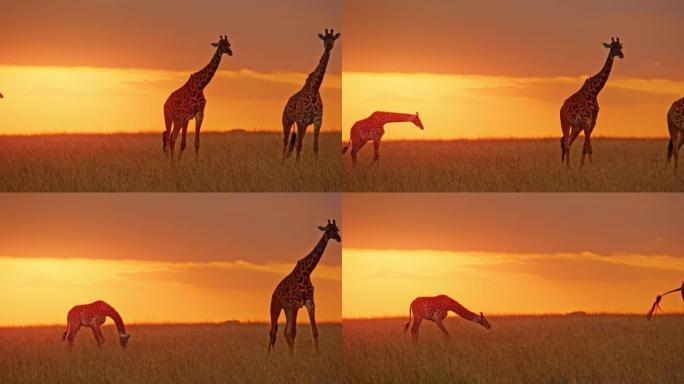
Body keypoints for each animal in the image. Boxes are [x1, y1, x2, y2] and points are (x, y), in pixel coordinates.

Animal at [268, 219, 342, 354]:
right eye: (329, 230)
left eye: (337, 229)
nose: (339, 238)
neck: (307, 272)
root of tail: (273, 293)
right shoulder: (295, 304)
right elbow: (293, 332)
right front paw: (293, 357)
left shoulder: (309, 302)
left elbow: (315, 331)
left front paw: (317, 354)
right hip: (275, 307)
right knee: (272, 331)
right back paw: (269, 356)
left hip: (287, 309)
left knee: (283, 331)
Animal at [280, 28, 340, 163]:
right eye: (324, 38)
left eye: (333, 39)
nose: (329, 45)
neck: (315, 89)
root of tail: (286, 104)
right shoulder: (301, 121)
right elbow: (299, 146)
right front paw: (297, 166)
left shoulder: (317, 121)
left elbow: (315, 146)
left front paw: (316, 164)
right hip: (287, 121)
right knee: (286, 141)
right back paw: (282, 162)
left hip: (302, 125)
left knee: (294, 142)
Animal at [560, 38, 624, 168]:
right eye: (613, 47)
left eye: (620, 47)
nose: (621, 55)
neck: (595, 92)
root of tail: (561, 109)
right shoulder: (586, 120)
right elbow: (588, 147)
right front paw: (587, 167)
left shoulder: (592, 121)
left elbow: (586, 148)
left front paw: (583, 167)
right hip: (565, 123)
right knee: (566, 143)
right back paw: (567, 168)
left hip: (576, 127)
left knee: (569, 142)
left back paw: (569, 167)